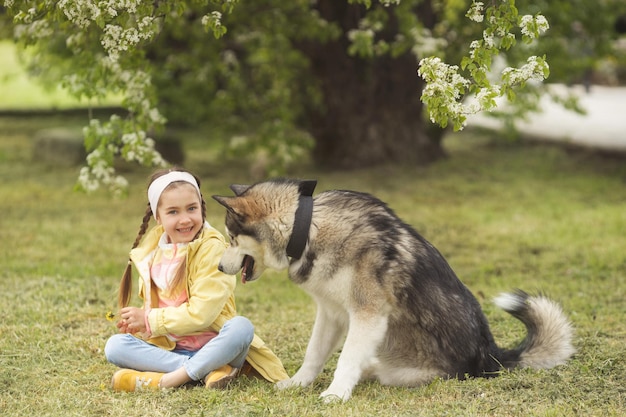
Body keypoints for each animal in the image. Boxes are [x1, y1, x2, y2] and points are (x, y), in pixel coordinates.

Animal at [212, 178, 572, 400]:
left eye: (231, 238)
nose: (217, 267)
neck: (308, 229)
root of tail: (490, 357)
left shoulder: (368, 313)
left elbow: (346, 358)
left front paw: (336, 394)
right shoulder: (331, 313)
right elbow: (314, 353)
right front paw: (299, 383)